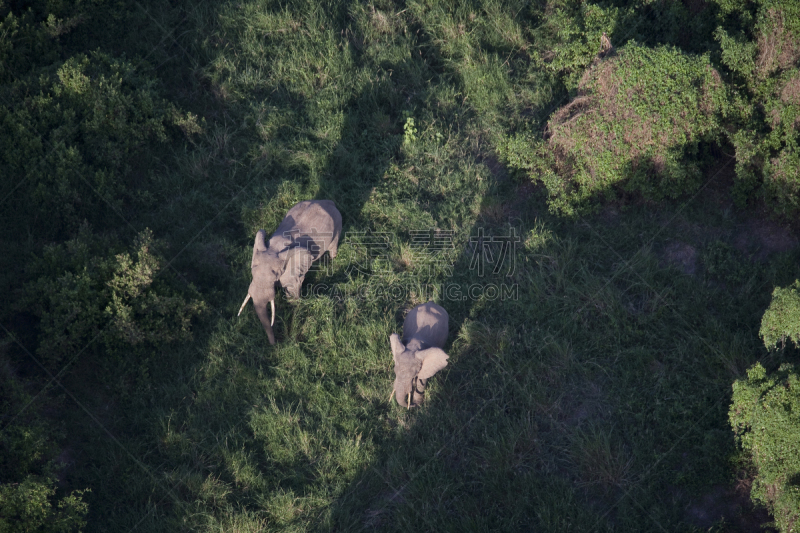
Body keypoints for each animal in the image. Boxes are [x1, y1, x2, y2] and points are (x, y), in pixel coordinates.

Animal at [236, 200, 340, 344]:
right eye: (252, 271)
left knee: (333, 248)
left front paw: (295, 309)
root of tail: (328, 201)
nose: (274, 344)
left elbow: (292, 288)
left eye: (275, 275)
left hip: (337, 225)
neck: (275, 248)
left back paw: (330, 261)